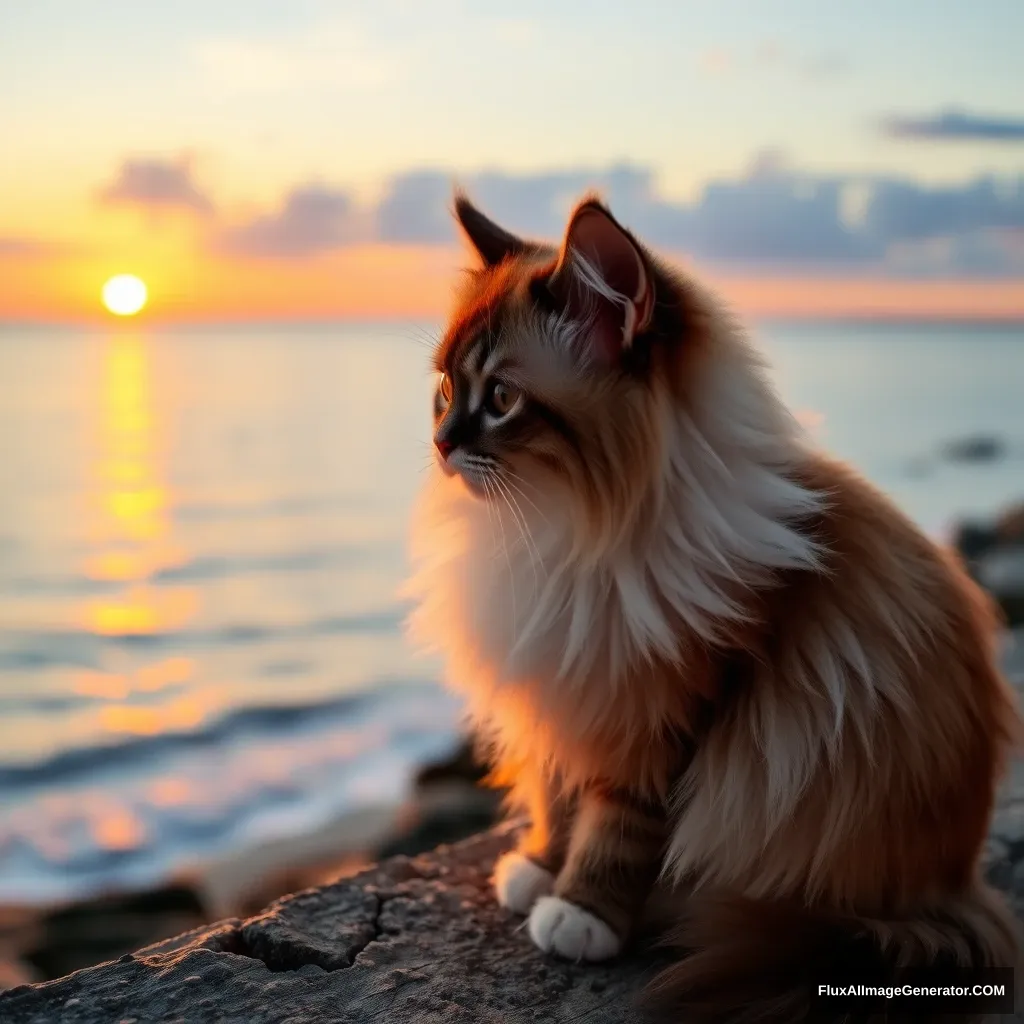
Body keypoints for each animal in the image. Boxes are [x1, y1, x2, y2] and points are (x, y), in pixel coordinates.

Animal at [403, 192, 1019, 1024]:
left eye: (500, 399)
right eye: (442, 389)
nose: (440, 443)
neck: (571, 530)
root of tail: (958, 889)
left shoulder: (665, 714)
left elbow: (617, 825)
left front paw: (581, 913)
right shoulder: (563, 685)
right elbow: (556, 795)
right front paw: (537, 866)